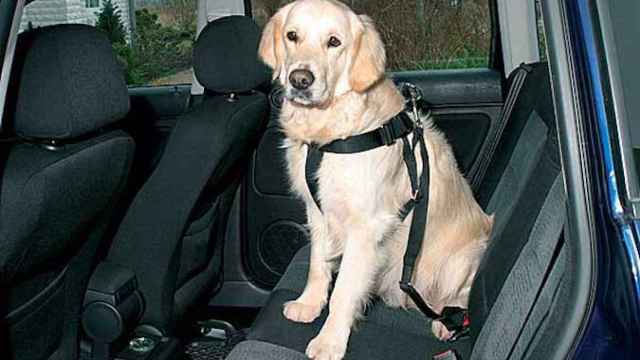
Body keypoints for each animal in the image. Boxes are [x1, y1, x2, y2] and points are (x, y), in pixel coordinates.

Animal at [258, 1, 492, 358]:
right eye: (292, 36)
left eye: (334, 42)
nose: (300, 79)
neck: (332, 134)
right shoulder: (319, 211)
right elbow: (317, 264)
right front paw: (309, 304)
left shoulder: (366, 227)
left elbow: (344, 291)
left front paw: (329, 341)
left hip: (462, 260)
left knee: (460, 296)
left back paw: (446, 322)